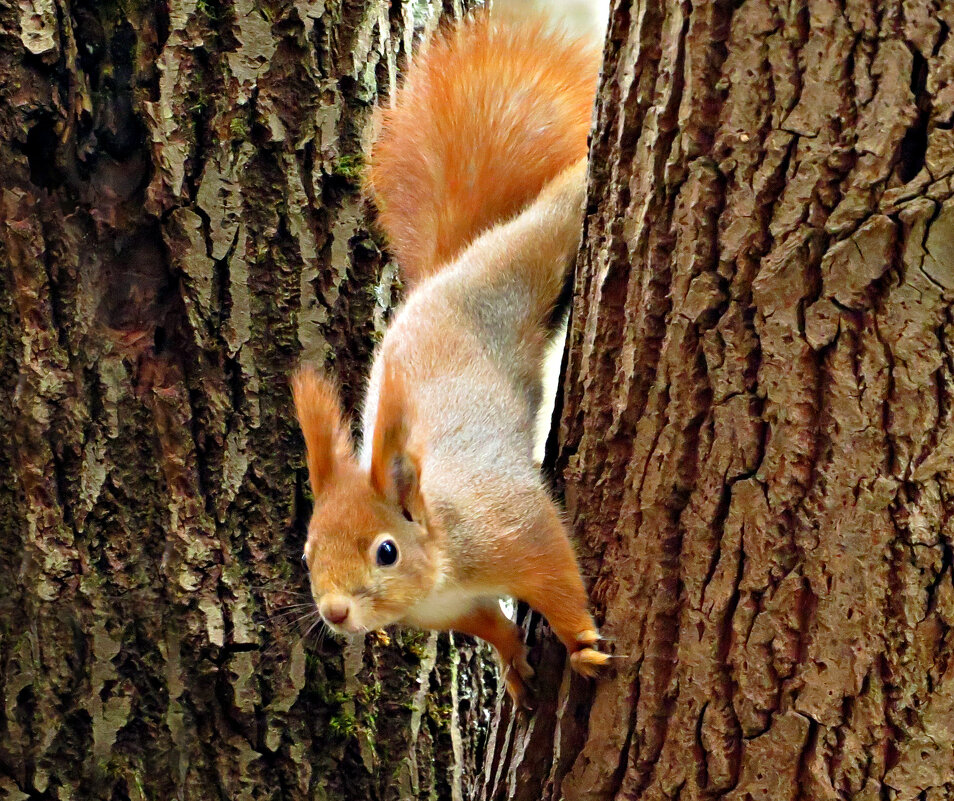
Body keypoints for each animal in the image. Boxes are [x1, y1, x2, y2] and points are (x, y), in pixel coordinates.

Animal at [290, 10, 608, 700]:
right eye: (306, 554)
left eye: (386, 551)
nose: (335, 612)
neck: (442, 563)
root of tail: (449, 270)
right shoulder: (454, 608)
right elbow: (491, 625)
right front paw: (513, 664)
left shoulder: (510, 524)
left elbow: (557, 574)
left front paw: (580, 641)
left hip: (525, 258)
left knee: (553, 216)